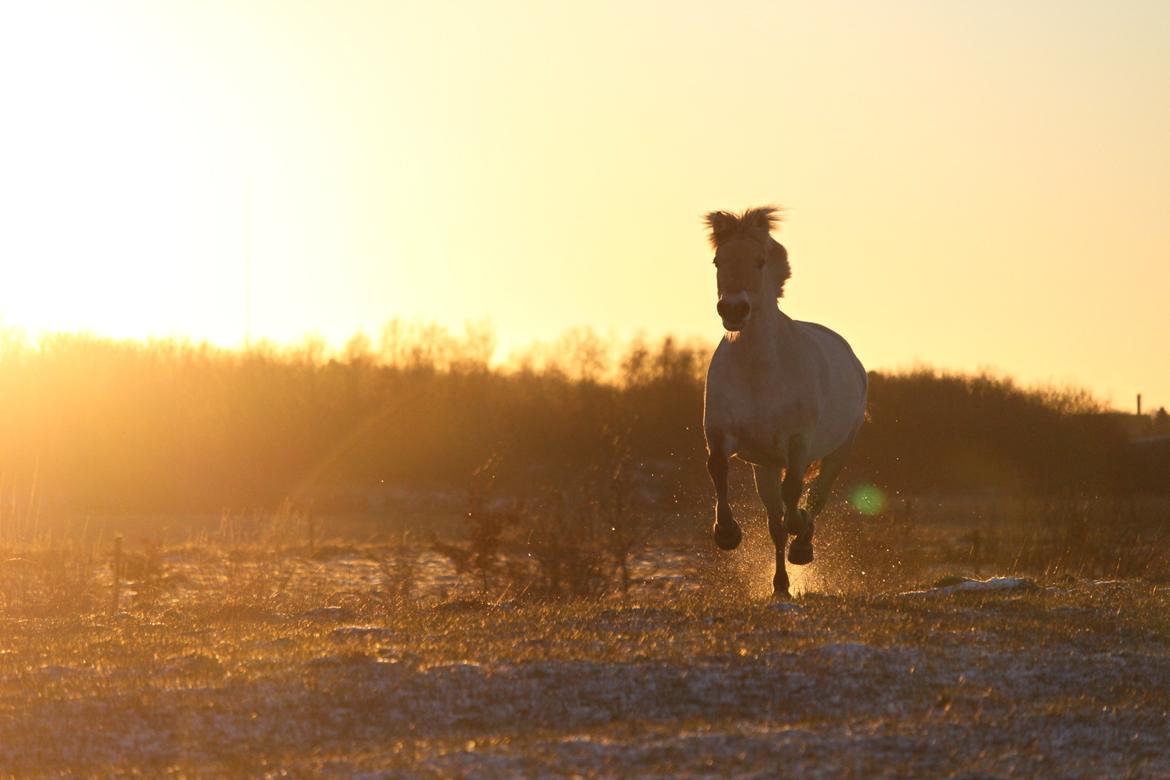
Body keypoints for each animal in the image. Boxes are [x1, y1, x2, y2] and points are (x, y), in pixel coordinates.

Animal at [697, 205, 865, 598]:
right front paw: (727, 534)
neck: (759, 373)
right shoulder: (720, 433)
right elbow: (718, 469)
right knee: (775, 523)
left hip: (839, 449)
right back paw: (780, 586)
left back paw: (802, 545)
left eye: (759, 262)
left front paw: (799, 529)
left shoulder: (798, 443)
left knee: (816, 496)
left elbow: (796, 491)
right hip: (766, 466)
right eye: (717, 260)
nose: (734, 309)